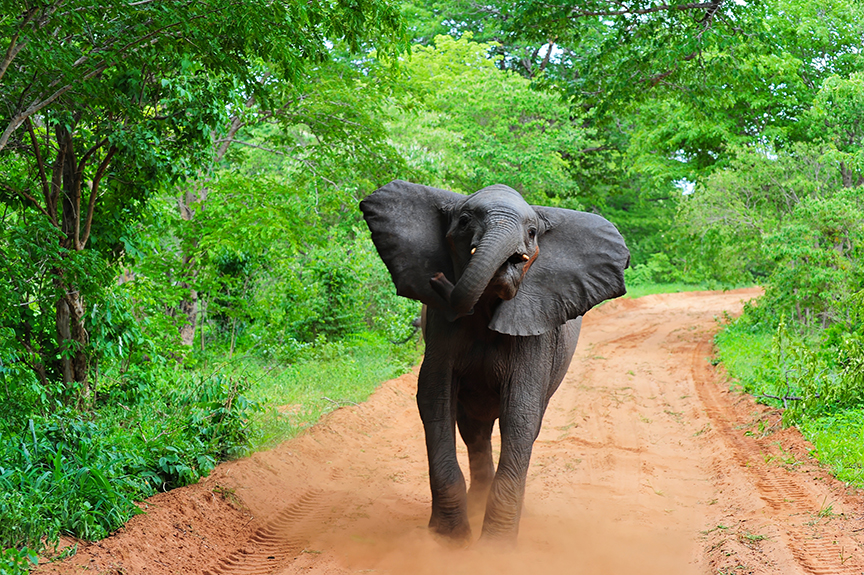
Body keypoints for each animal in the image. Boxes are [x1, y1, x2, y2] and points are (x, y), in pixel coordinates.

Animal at [360, 180, 629, 542]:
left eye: (532, 232)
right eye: (463, 222)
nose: (438, 280)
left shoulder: (536, 327)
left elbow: (521, 411)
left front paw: (495, 546)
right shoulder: (441, 326)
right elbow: (434, 399)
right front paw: (449, 539)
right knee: (473, 430)